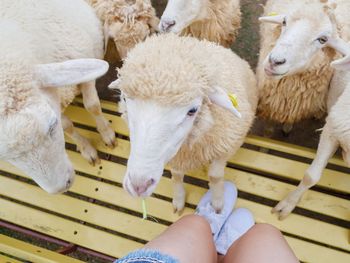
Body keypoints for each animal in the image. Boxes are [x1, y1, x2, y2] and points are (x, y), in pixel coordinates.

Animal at [0, 0, 115, 194]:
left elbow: (92, 105)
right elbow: (68, 126)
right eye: (3, 156)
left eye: (53, 125)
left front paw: (107, 134)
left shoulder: (83, 59)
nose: (61, 187)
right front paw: (86, 149)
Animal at [109, 33, 258, 214]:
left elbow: (215, 176)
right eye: (124, 98)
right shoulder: (176, 156)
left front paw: (218, 202)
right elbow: (177, 175)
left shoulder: (226, 146)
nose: (139, 185)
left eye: (193, 110)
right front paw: (179, 199)